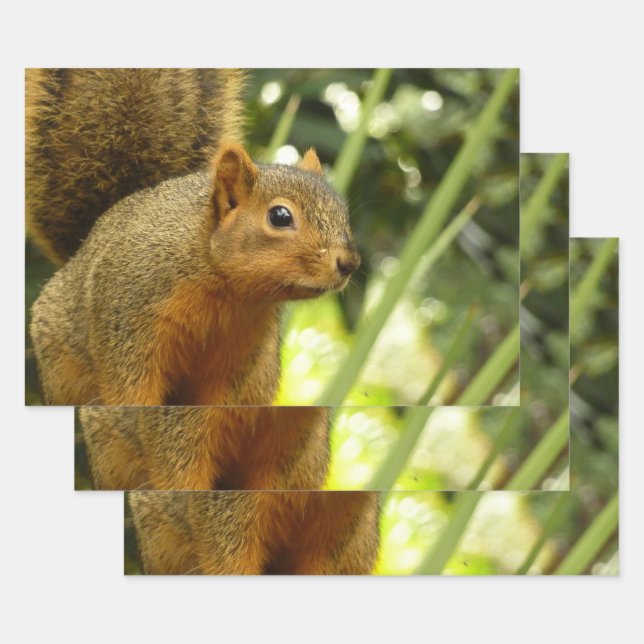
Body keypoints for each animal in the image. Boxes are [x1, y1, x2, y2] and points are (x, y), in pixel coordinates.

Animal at [27, 68, 360, 406]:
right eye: (280, 217)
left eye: (342, 211)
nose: (349, 263)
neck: (226, 289)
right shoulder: (129, 320)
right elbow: (130, 391)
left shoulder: (241, 355)